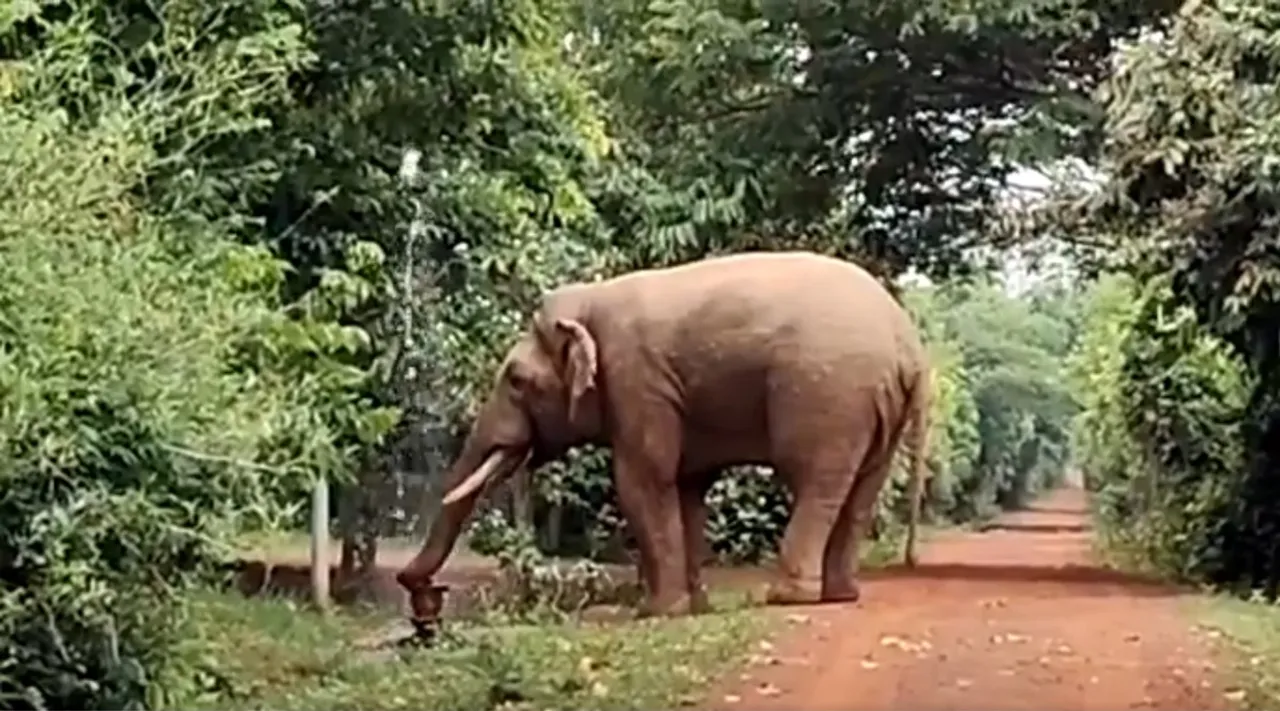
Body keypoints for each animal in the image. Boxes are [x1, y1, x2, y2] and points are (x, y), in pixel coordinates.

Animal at [396, 253, 931, 620]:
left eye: (515, 381)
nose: (417, 590)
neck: (591, 300)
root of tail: (909, 345)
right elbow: (687, 487)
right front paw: (694, 608)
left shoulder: (638, 379)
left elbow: (642, 482)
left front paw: (657, 612)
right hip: (874, 405)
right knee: (862, 490)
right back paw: (840, 595)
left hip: (829, 396)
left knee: (814, 481)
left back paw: (787, 597)